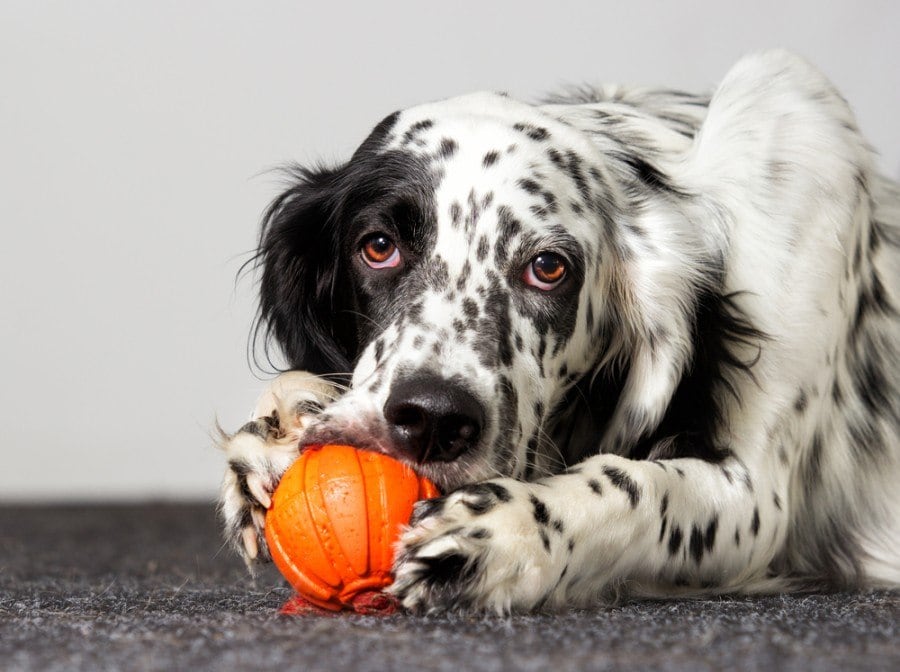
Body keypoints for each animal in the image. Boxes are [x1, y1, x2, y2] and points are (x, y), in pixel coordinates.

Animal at [220, 50, 900, 612]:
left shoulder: (758, 498)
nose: (433, 419)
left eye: (548, 267)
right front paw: (281, 423)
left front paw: (510, 532)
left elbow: (636, 483)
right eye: (378, 246)